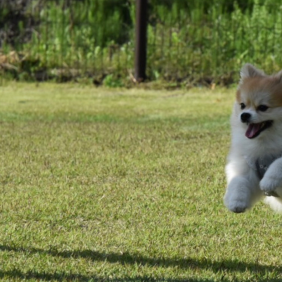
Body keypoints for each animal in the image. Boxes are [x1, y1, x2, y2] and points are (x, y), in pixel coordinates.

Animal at [225, 64, 282, 213]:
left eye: (263, 107)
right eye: (242, 105)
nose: (244, 115)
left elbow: (279, 162)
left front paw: (269, 180)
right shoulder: (247, 165)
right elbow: (239, 180)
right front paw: (236, 201)